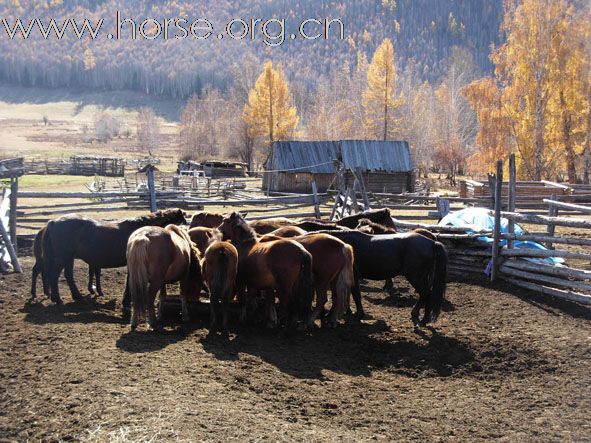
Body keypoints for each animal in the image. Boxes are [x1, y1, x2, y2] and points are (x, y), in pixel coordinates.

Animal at [42, 208, 186, 306]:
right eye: (183, 221)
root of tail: (53, 222)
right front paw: (127, 302)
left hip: (67, 258)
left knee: (66, 276)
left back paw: (73, 297)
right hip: (63, 258)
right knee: (56, 275)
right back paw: (60, 298)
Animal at [314, 231, 448, 328]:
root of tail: (432, 243)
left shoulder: (353, 277)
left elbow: (355, 295)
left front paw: (358, 314)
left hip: (415, 276)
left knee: (426, 294)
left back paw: (423, 319)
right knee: (425, 295)